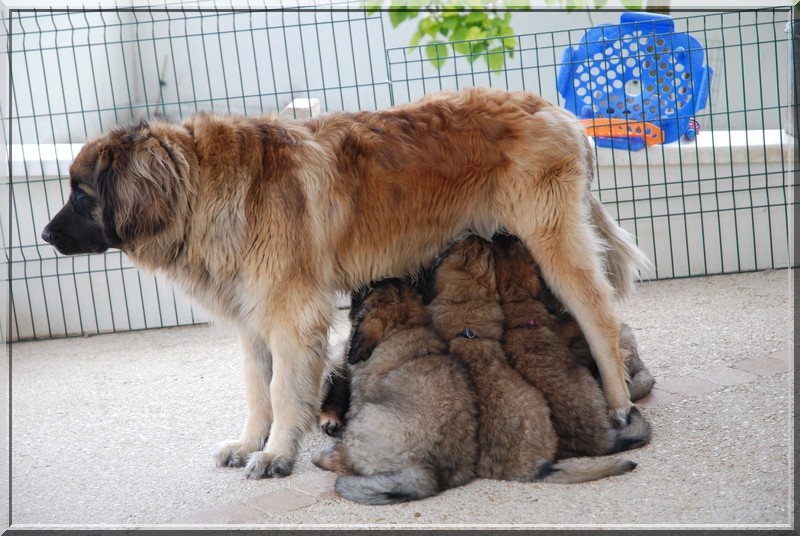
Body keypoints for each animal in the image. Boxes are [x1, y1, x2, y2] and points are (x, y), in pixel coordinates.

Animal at [310, 278, 478, 504]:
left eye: (369, 289)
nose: (370, 279)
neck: (403, 327)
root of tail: (428, 472)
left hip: (364, 419)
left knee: (344, 460)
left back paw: (322, 457)